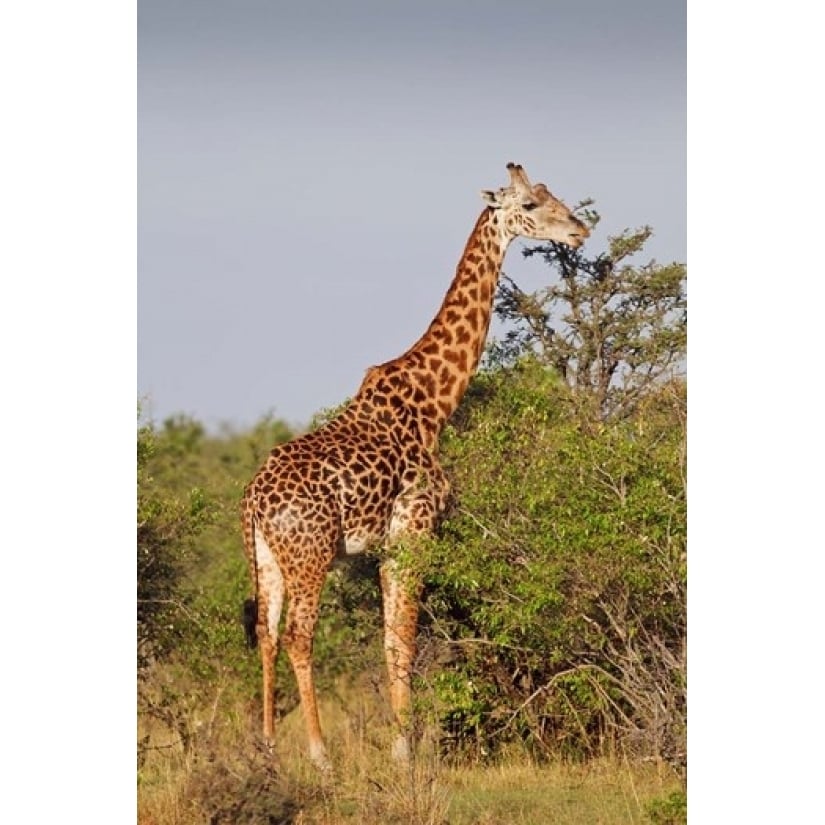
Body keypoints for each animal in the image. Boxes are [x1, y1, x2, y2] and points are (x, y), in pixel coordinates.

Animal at [241, 163, 588, 772]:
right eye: (529, 204)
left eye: (555, 196)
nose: (580, 230)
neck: (433, 403)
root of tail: (256, 501)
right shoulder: (415, 527)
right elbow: (404, 638)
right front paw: (405, 750)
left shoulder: (388, 542)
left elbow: (389, 639)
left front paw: (401, 743)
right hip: (310, 556)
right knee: (300, 637)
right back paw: (319, 754)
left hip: (266, 558)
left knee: (266, 633)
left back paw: (268, 750)